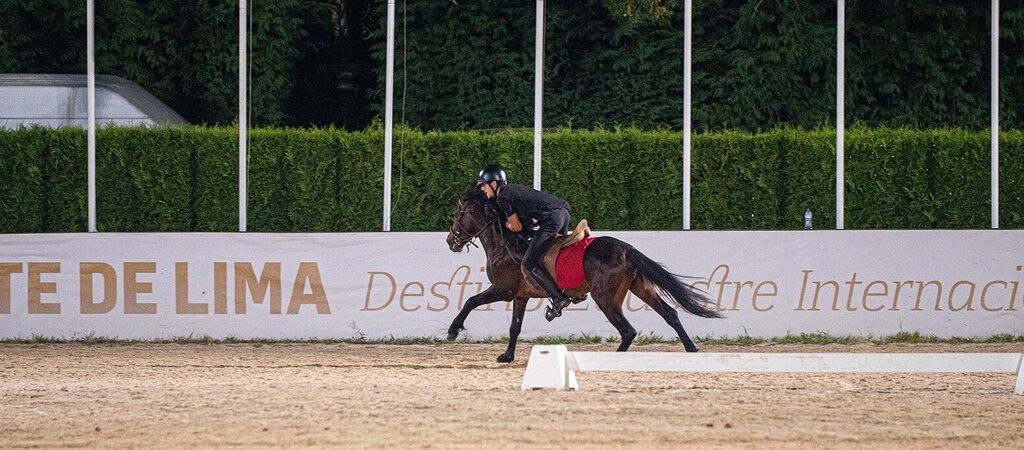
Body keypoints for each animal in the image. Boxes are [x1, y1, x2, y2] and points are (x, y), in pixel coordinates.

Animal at [445, 184, 722, 363]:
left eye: (458, 214)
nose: (450, 241)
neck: (505, 244)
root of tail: (626, 248)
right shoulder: (520, 295)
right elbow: (515, 327)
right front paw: (507, 356)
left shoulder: (503, 290)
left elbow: (470, 301)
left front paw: (453, 330)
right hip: (641, 287)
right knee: (670, 314)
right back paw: (692, 349)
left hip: (606, 298)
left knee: (628, 330)